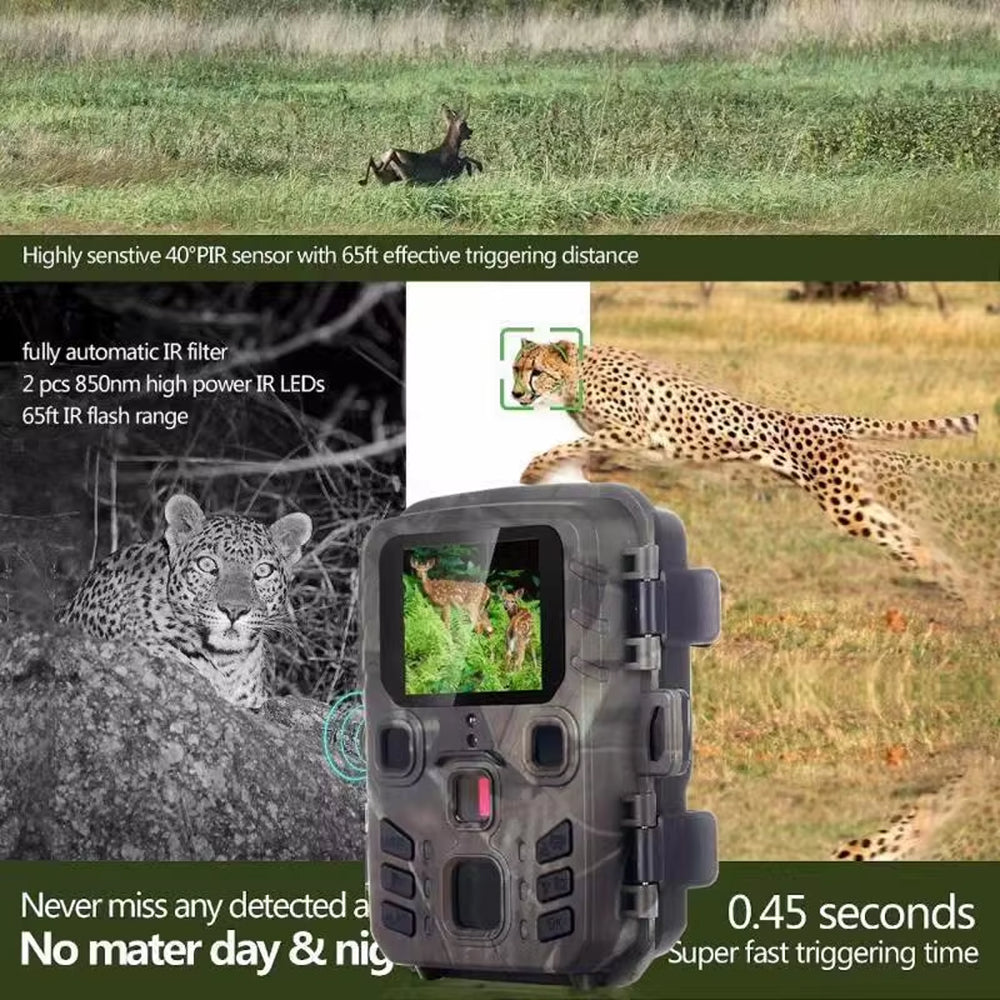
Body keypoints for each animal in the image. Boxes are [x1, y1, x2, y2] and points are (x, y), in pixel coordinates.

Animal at [511, 339, 996, 592]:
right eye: (517, 367)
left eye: (536, 371)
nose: (515, 394)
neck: (576, 376)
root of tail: (826, 419)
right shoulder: (629, 443)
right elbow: (587, 454)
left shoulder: (635, 433)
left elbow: (564, 447)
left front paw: (532, 472)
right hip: (850, 500)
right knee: (905, 535)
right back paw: (958, 582)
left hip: (844, 503)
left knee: (903, 535)